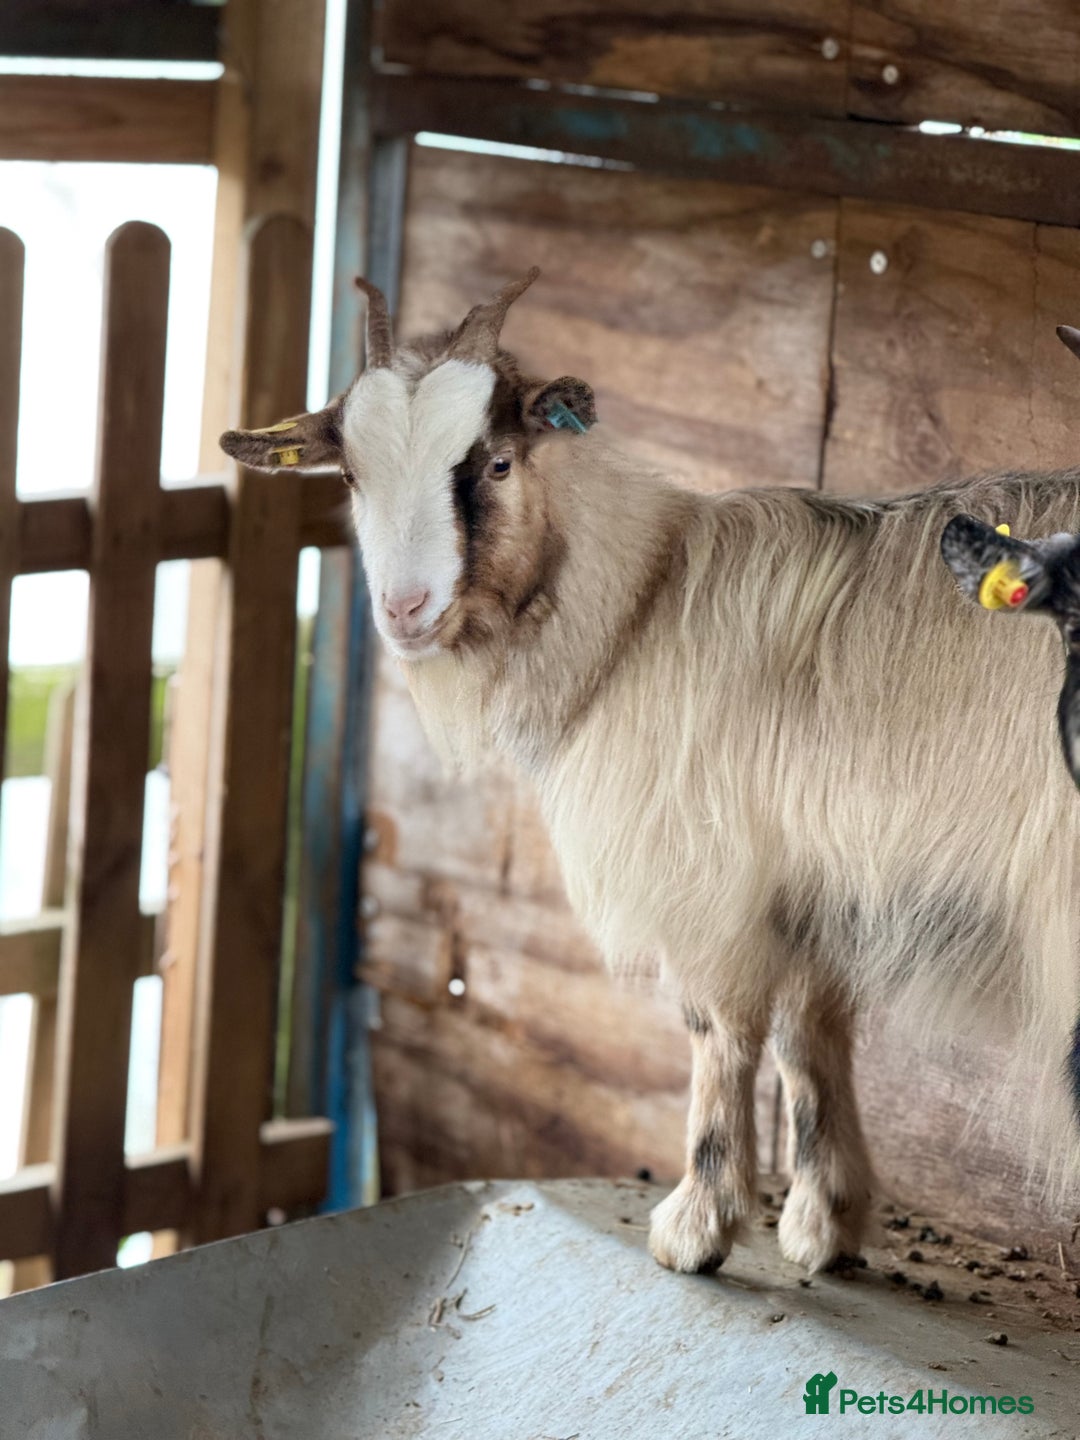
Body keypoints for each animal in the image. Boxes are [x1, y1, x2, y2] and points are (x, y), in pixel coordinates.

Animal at [221, 273, 1080, 1274]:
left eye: (498, 464)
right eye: (353, 475)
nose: (405, 610)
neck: (639, 608)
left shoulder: (707, 876)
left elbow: (719, 1035)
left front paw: (697, 1225)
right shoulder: (807, 877)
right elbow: (808, 1035)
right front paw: (823, 1221)